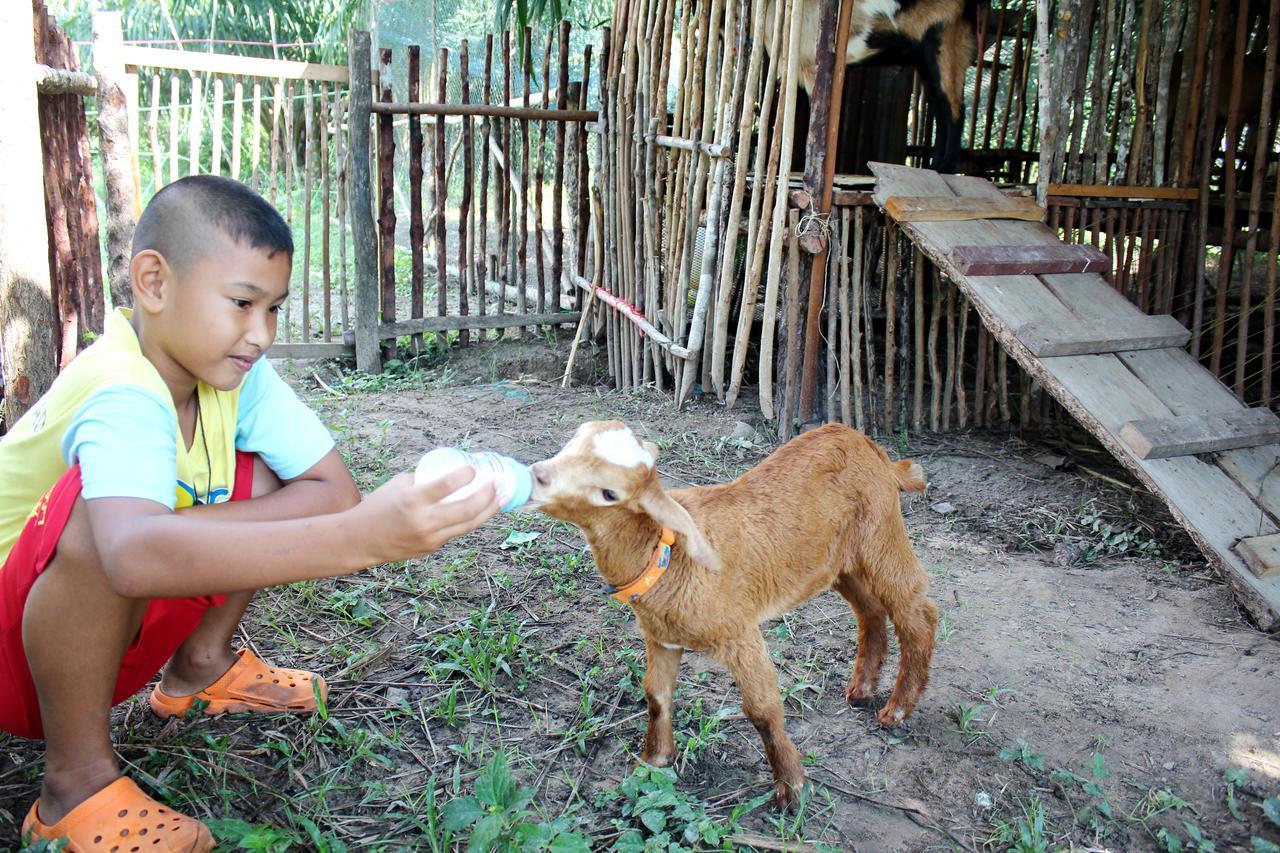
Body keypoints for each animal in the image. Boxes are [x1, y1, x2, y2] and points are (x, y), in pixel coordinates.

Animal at [529, 417, 942, 804]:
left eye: (609, 492)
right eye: (572, 442)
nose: (535, 476)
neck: (666, 556)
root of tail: (875, 451)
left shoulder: (740, 632)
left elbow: (762, 708)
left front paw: (791, 787)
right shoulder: (662, 638)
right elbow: (656, 695)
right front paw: (654, 761)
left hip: (881, 532)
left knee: (917, 610)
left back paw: (896, 710)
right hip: (839, 562)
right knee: (870, 611)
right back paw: (862, 690)